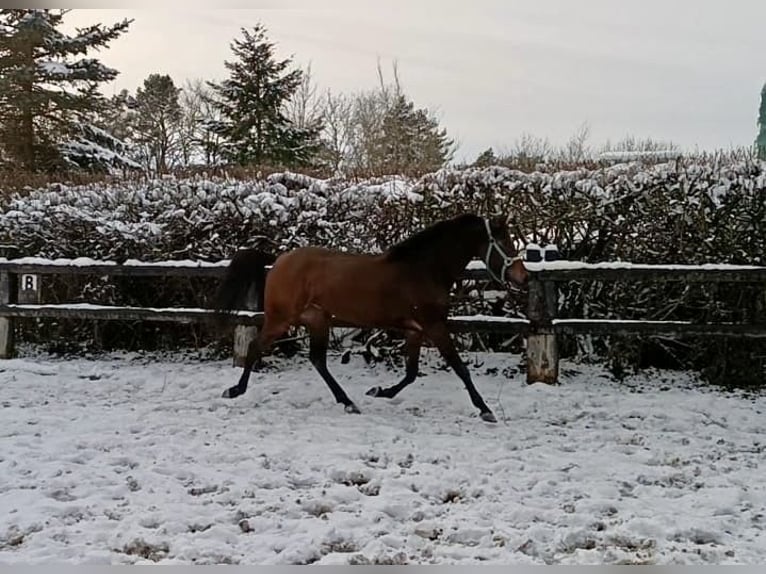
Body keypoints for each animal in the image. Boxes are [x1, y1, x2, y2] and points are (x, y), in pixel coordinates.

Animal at [216, 215, 528, 424]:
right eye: (504, 241)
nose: (522, 277)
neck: (423, 269)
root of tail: (279, 260)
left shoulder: (415, 330)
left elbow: (411, 373)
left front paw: (380, 391)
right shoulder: (434, 326)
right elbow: (460, 368)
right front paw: (485, 409)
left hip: (318, 320)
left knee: (318, 360)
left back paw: (348, 402)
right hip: (281, 318)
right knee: (255, 348)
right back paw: (234, 390)